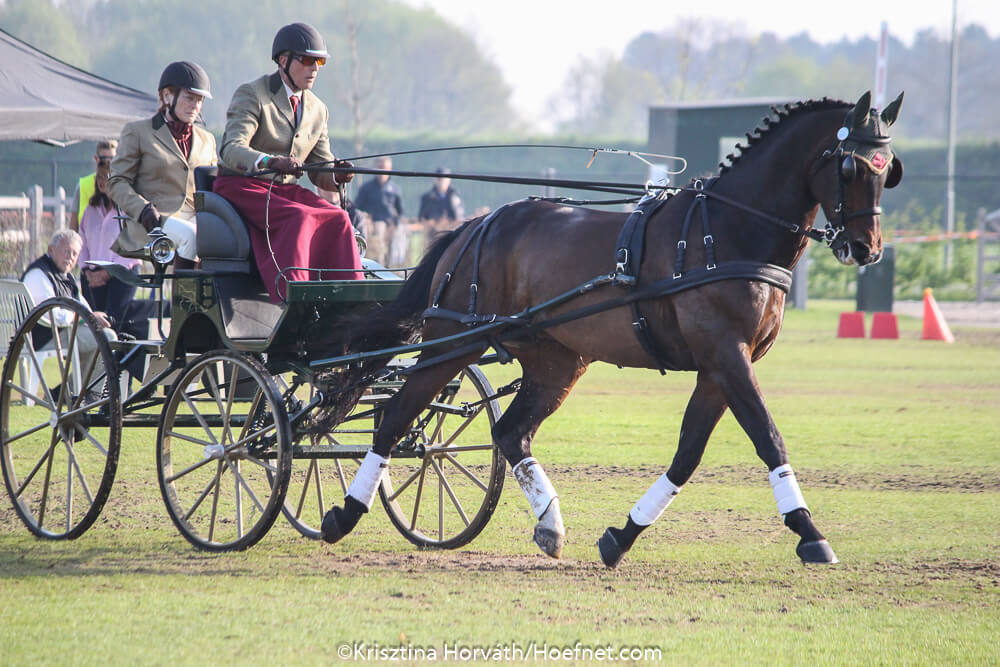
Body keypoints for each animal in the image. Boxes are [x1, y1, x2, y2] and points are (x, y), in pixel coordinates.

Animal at [322, 90, 908, 568]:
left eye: (888, 170)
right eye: (852, 168)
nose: (866, 249)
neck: (727, 231)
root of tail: (475, 224)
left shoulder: (719, 367)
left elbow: (688, 454)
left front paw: (622, 535)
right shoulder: (726, 353)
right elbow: (768, 436)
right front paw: (809, 532)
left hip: (556, 359)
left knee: (509, 432)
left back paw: (550, 524)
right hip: (454, 342)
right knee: (395, 418)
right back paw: (343, 514)